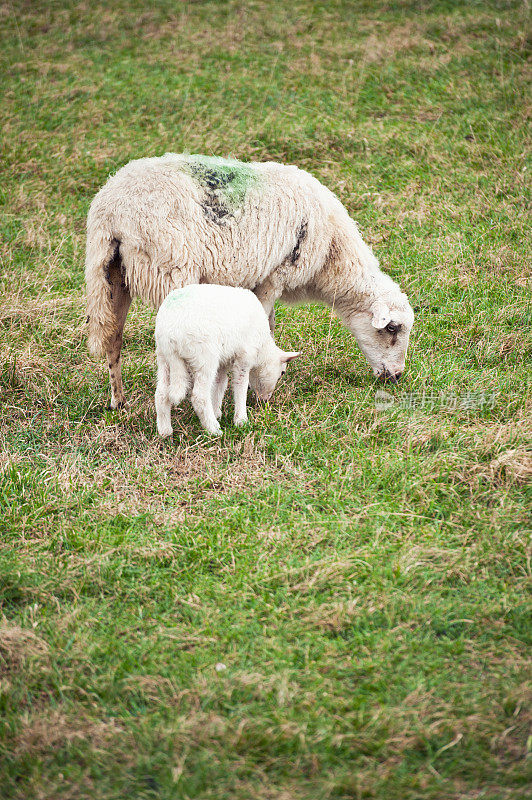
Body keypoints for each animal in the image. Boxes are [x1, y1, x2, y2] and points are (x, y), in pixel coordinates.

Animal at [85, 153, 414, 410]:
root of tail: (110, 212)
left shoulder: (261, 278)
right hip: (169, 269)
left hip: (112, 277)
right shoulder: (275, 275)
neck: (332, 257)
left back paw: (118, 401)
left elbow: (268, 323)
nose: (397, 376)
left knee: (113, 337)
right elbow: (262, 325)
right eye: (392, 328)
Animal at [156, 284, 302, 438]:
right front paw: (241, 420)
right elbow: (240, 385)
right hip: (204, 356)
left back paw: (165, 432)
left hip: (163, 358)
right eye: (282, 373)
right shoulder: (244, 357)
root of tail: (170, 336)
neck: (262, 347)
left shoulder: (224, 361)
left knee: (161, 393)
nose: (265, 401)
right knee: (199, 397)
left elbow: (220, 384)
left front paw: (217, 412)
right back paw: (213, 430)